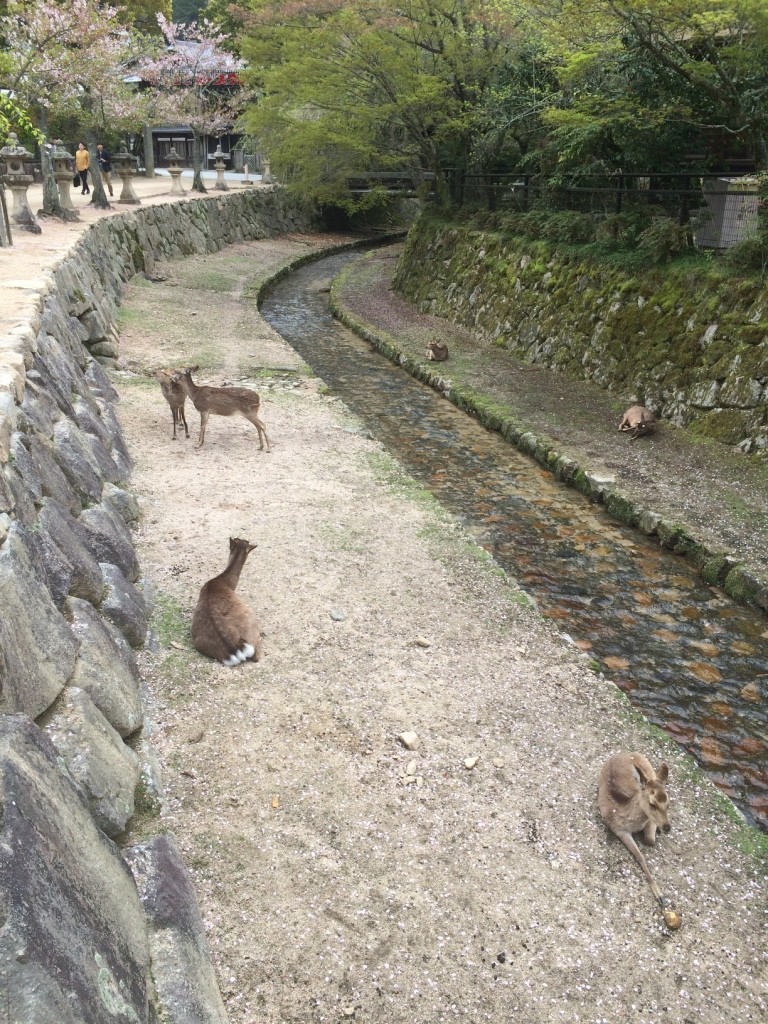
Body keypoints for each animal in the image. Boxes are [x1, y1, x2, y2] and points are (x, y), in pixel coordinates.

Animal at [598, 753, 684, 929]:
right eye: (652, 803)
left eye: (668, 803)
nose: (667, 827)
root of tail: (623, 753)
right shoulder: (619, 830)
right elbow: (640, 856)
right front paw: (660, 896)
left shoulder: (648, 821)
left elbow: (650, 839)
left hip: (649, 768)